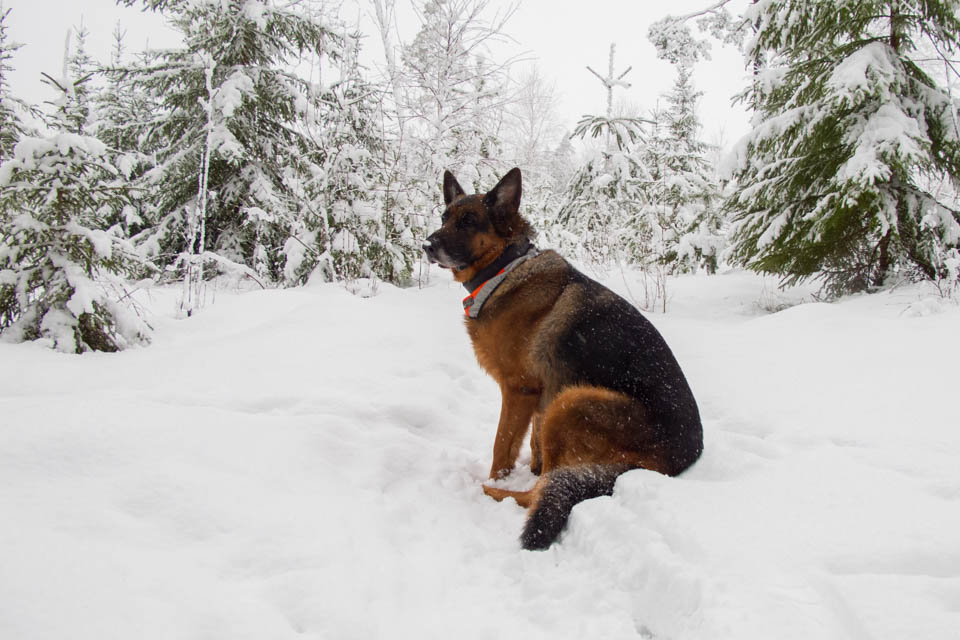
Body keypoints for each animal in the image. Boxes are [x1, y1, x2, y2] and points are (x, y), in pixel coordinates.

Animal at [424, 168, 700, 548]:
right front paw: (532, 463)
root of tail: (682, 457)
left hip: (573, 400)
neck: (503, 269)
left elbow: (501, 447)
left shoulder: (518, 391)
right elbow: (534, 441)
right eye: (444, 218)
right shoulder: (540, 397)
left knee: (539, 491)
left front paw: (496, 479)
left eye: (468, 221)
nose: (426, 246)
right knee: (549, 479)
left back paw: (493, 493)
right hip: (563, 403)